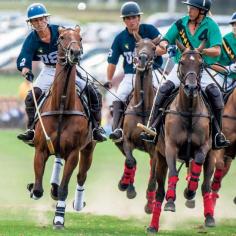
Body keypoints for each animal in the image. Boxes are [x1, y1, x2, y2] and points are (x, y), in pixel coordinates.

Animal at [26, 26, 95, 229]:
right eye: (62, 37)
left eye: (80, 38)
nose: (75, 53)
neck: (63, 106)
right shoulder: (40, 149)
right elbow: (38, 189)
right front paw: (34, 188)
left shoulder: (73, 153)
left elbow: (65, 188)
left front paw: (59, 219)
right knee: (57, 161)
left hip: (88, 148)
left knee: (81, 176)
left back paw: (77, 203)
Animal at [115, 33, 161, 212]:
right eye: (137, 45)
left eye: (154, 48)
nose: (141, 59)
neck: (142, 107)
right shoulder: (127, 140)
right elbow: (130, 161)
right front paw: (125, 185)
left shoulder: (155, 150)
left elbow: (153, 178)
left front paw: (149, 204)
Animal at [148, 41, 214, 233]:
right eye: (182, 62)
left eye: (201, 64)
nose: (191, 88)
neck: (189, 111)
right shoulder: (170, 147)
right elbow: (172, 174)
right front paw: (171, 200)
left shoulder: (204, 146)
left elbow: (197, 164)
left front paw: (189, 190)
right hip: (159, 157)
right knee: (159, 192)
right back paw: (153, 225)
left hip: (213, 156)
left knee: (206, 186)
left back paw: (209, 217)